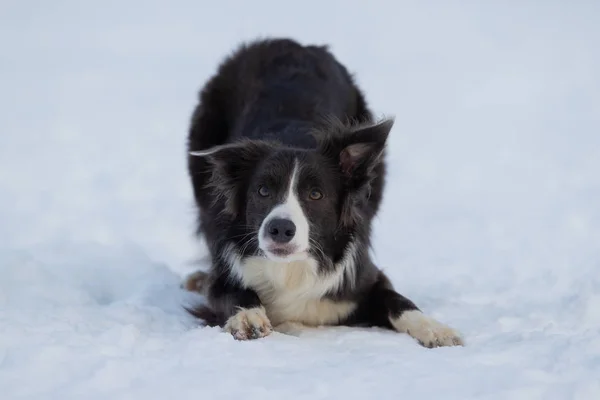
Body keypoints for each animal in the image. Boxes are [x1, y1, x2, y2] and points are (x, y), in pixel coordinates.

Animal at [183, 39, 464, 348]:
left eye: (316, 194)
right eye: (263, 190)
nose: (280, 229)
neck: (293, 268)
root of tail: (290, 42)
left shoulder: (362, 278)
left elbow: (399, 300)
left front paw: (435, 328)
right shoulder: (226, 272)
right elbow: (232, 291)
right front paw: (248, 316)